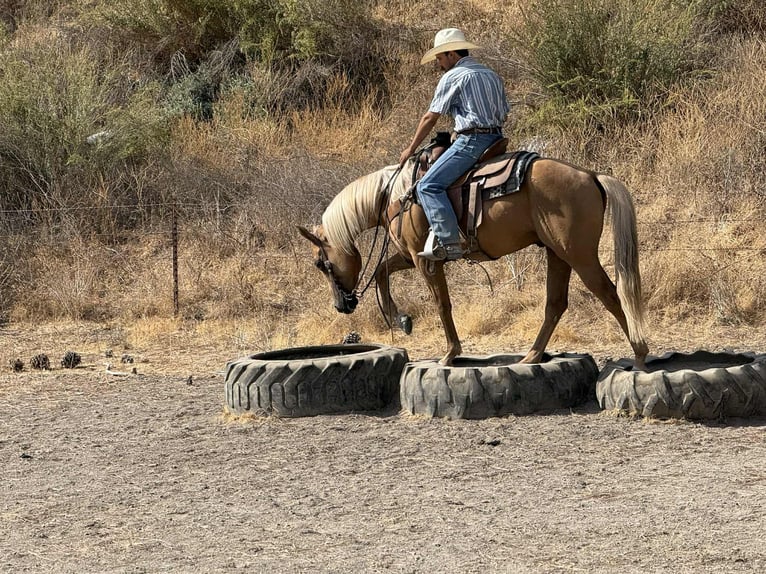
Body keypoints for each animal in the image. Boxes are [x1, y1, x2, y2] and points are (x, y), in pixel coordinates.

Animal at [298, 152, 649, 369]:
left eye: (322, 264)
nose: (341, 306)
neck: (396, 196)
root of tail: (591, 175)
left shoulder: (426, 261)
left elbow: (442, 304)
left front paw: (450, 354)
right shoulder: (411, 255)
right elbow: (383, 271)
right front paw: (402, 320)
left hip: (578, 254)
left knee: (610, 293)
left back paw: (640, 355)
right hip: (557, 253)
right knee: (556, 303)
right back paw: (532, 356)